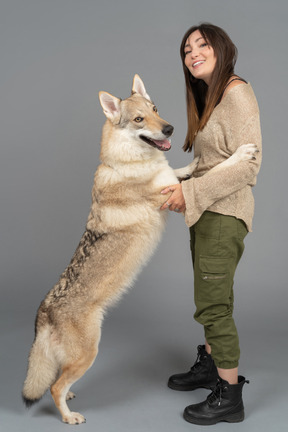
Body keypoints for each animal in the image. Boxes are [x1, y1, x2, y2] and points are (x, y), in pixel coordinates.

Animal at [22, 75, 256, 426]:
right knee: (54, 387)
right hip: (89, 354)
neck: (127, 161)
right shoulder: (172, 195)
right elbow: (212, 172)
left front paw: (197, 160)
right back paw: (69, 416)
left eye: (155, 109)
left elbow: (187, 170)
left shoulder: (172, 180)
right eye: (138, 120)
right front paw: (240, 154)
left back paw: (71, 397)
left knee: (57, 379)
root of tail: (43, 312)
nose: (170, 129)